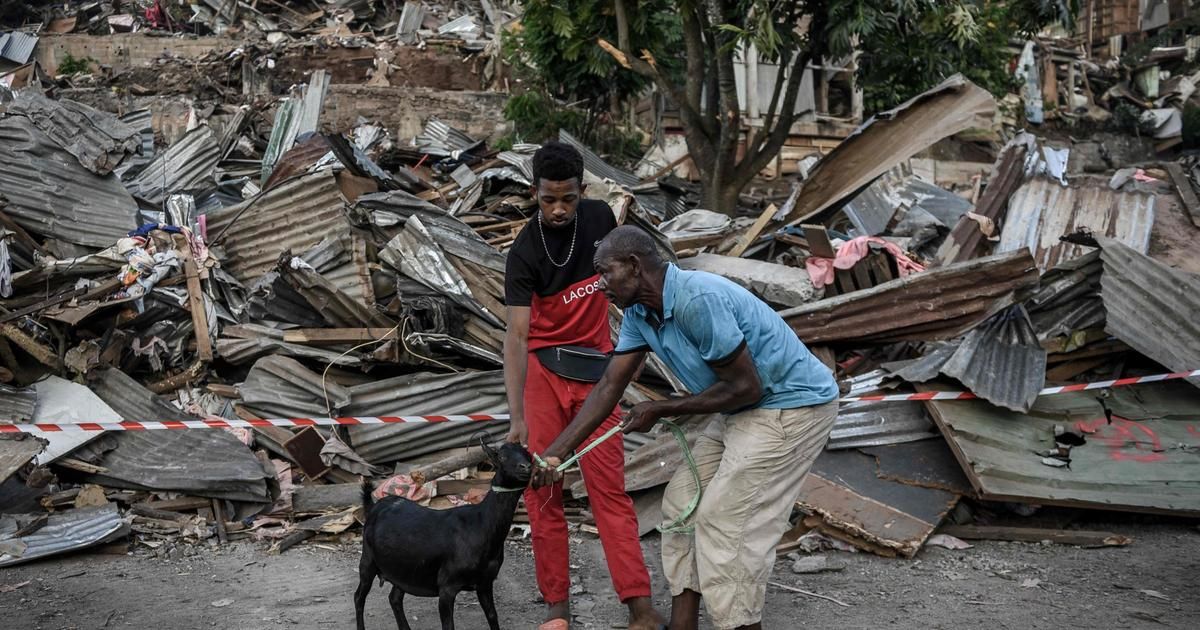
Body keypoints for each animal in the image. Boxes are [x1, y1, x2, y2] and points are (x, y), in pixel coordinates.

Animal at [350, 439, 530, 624]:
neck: (481, 524)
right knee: (359, 597)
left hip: (403, 569)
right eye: (501, 457)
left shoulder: (485, 582)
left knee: (394, 598)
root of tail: (374, 506)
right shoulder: (447, 587)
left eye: (528, 455)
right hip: (368, 560)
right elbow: (448, 623)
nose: (526, 467)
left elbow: (493, 616)